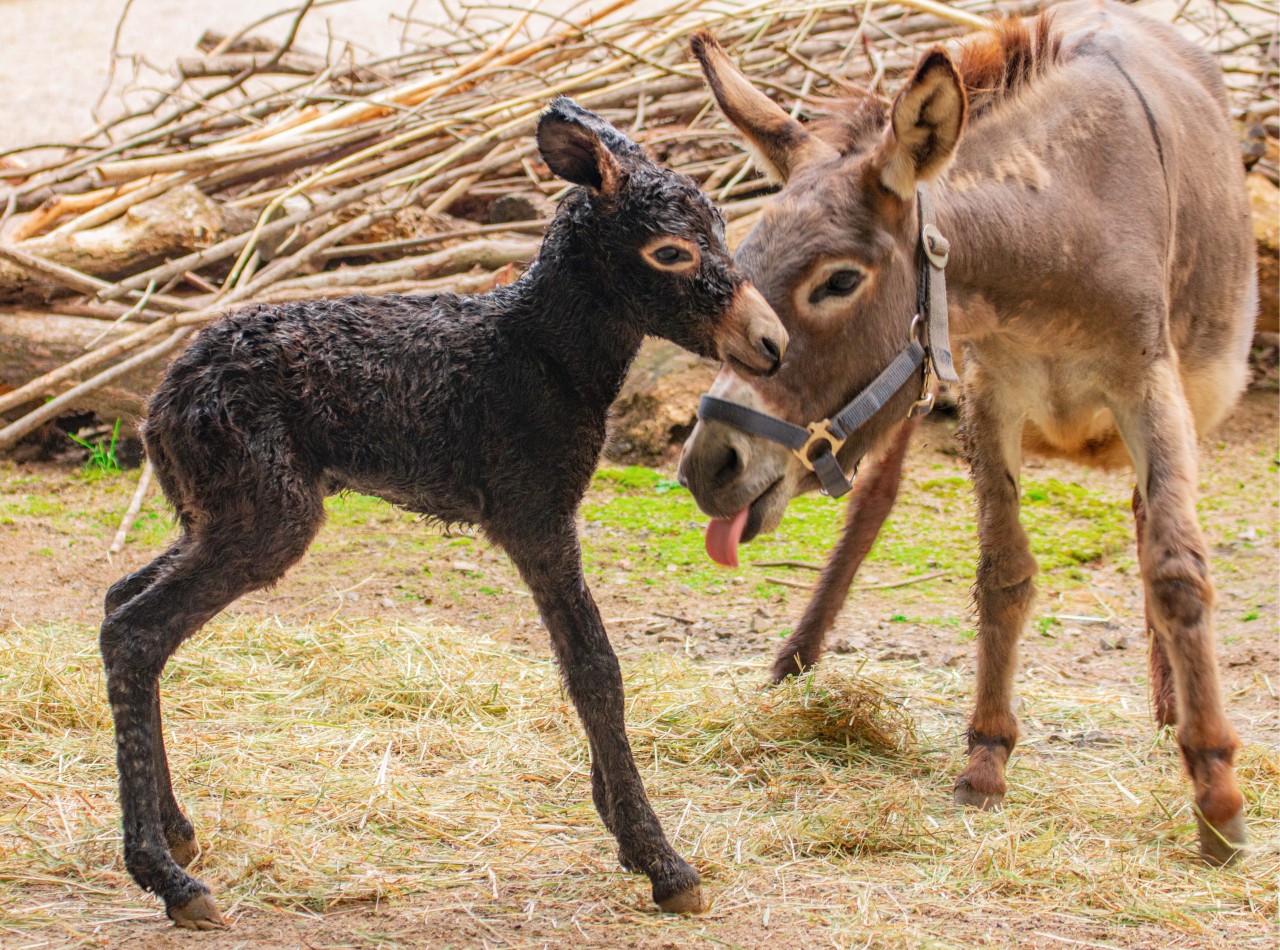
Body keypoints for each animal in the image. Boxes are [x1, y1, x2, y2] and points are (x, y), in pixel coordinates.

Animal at [99, 98, 783, 932]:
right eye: (672, 252)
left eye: (722, 229)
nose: (771, 342)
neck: (540, 352)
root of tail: (164, 400)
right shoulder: (535, 515)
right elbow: (595, 669)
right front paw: (661, 862)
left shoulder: (541, 519)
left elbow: (585, 666)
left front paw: (620, 823)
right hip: (267, 515)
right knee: (136, 632)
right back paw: (170, 880)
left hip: (222, 511)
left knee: (121, 598)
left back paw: (178, 830)